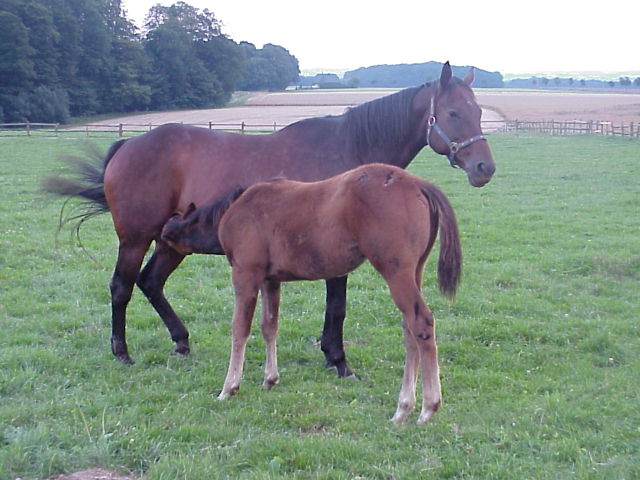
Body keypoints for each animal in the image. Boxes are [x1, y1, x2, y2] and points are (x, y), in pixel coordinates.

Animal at [46, 62, 496, 372]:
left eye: (478, 112)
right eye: (453, 113)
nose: (484, 168)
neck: (349, 150)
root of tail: (129, 145)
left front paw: (332, 356)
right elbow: (337, 307)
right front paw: (338, 360)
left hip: (172, 241)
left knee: (150, 282)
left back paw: (181, 341)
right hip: (136, 238)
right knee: (121, 286)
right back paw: (122, 352)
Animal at [159, 164, 460, 424]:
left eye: (168, 237)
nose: (160, 239)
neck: (235, 210)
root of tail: (418, 184)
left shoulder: (246, 275)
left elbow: (239, 330)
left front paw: (229, 387)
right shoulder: (271, 280)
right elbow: (269, 326)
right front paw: (270, 379)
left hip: (396, 272)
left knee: (421, 323)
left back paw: (426, 407)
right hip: (414, 271)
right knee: (410, 330)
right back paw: (404, 409)